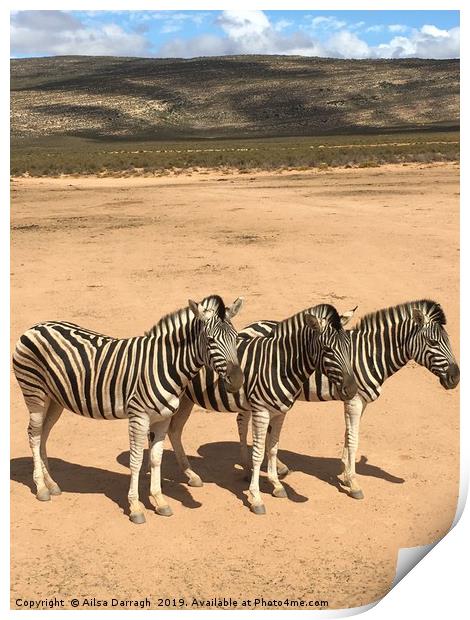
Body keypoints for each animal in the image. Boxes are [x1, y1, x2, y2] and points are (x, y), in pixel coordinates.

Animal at [12, 296, 244, 524]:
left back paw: (52, 484)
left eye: (236, 339)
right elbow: (136, 460)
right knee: (34, 435)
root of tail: (35, 327)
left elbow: (156, 459)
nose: (238, 380)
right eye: (211, 340)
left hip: (55, 400)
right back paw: (41, 488)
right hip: (35, 394)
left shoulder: (162, 418)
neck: (165, 364)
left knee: (43, 435)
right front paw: (135, 507)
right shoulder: (138, 416)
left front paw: (160, 501)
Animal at [167, 304, 354, 512]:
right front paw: (256, 498)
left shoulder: (280, 413)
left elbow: (273, 448)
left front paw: (277, 485)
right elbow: (257, 454)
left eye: (349, 346)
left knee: (174, 431)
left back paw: (191, 475)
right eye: (328, 349)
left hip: (186, 399)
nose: (353, 388)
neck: (279, 365)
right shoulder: (261, 411)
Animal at [234, 300, 458, 498]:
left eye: (448, 341)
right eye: (433, 342)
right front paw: (353, 482)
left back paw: (278, 467)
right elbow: (354, 439)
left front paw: (344, 474)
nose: (456, 378)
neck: (370, 354)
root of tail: (249, 326)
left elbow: (348, 435)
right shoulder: (354, 400)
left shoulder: (359, 400)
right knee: (242, 422)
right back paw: (246, 467)